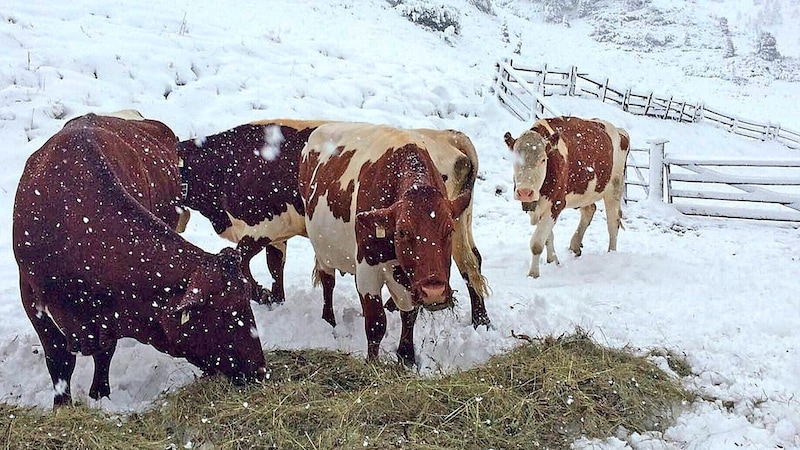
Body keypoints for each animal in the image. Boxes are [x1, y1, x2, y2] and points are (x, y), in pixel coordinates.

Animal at [12, 112, 268, 408]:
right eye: (227, 312)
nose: (260, 370)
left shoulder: (110, 314)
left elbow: (105, 353)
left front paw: (101, 397)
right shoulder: (32, 297)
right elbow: (59, 360)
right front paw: (62, 406)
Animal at [300, 123, 476, 366]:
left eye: (449, 230)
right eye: (402, 231)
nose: (434, 292)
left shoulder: (410, 279)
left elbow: (409, 314)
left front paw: (406, 356)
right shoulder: (368, 267)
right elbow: (376, 322)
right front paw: (372, 362)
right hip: (324, 251)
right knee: (328, 282)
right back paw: (329, 320)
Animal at [506, 116, 632, 278]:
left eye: (543, 160)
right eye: (515, 160)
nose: (525, 192)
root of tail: (620, 131)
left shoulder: (556, 204)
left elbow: (537, 243)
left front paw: (533, 274)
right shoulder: (535, 205)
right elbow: (548, 237)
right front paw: (553, 261)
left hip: (614, 188)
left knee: (613, 222)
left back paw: (611, 254)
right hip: (587, 192)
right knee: (589, 210)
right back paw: (575, 246)